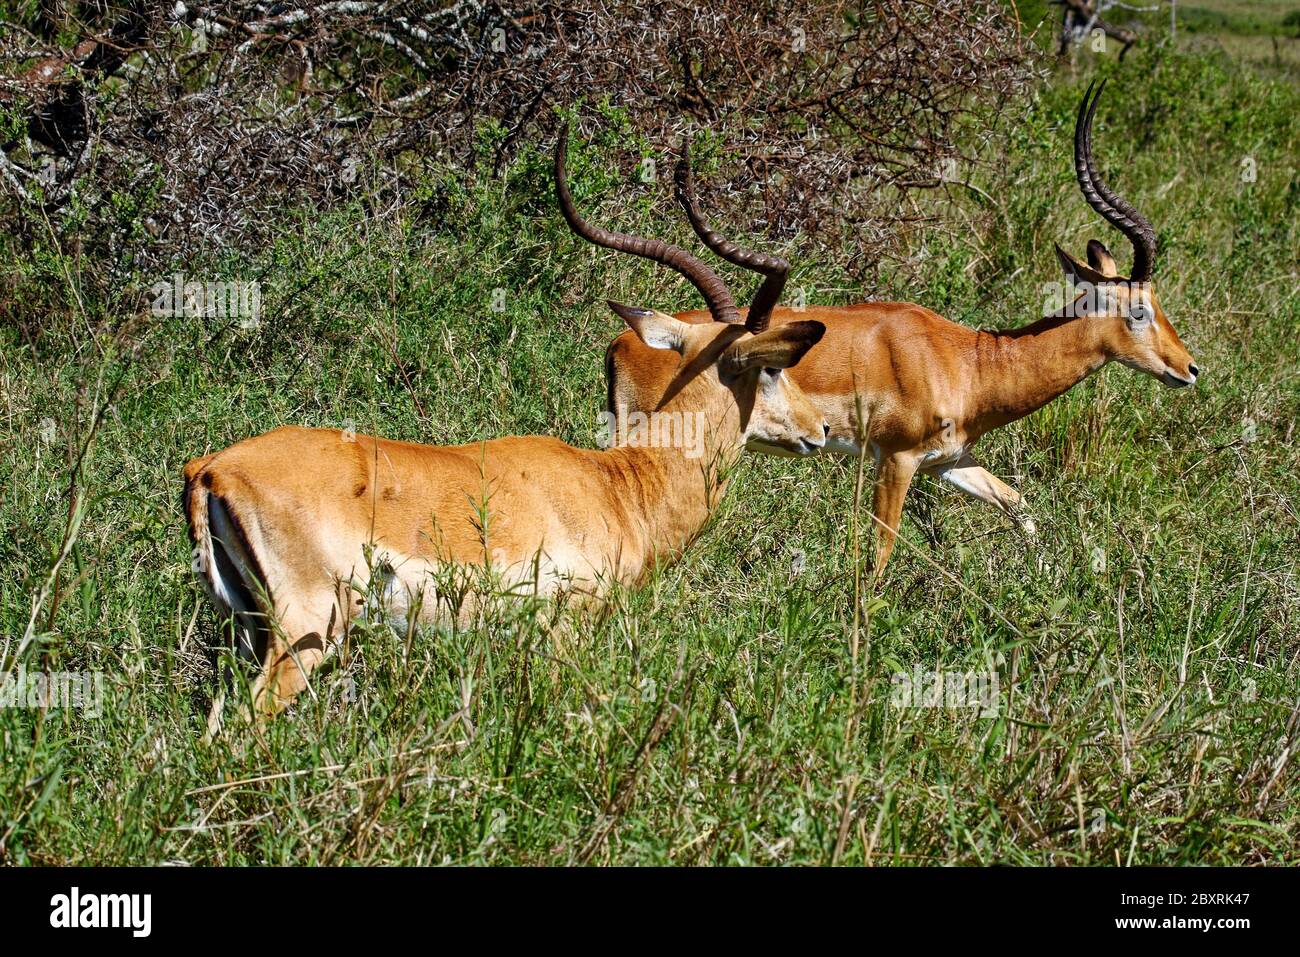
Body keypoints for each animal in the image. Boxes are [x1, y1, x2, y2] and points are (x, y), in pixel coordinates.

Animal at [183, 134, 828, 725]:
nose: (819, 428)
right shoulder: (565, 630)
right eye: (772, 368)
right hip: (308, 630)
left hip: (251, 632)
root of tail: (211, 470)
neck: (620, 488)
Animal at [604, 81, 1198, 574]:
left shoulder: (950, 461)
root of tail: (622, 340)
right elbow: (880, 551)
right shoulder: (897, 461)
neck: (967, 360)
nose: (1190, 369)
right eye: (1139, 310)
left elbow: (1020, 505)